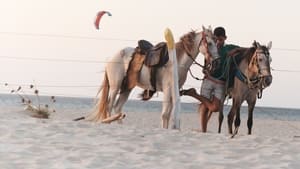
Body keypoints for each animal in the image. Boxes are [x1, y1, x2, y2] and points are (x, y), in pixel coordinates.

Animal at [83, 26, 219, 128]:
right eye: (210, 43)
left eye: (216, 42)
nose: (217, 61)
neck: (176, 61)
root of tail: (111, 58)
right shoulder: (168, 89)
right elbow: (165, 114)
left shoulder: (173, 91)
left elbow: (168, 114)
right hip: (115, 87)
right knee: (109, 106)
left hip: (127, 88)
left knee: (117, 108)